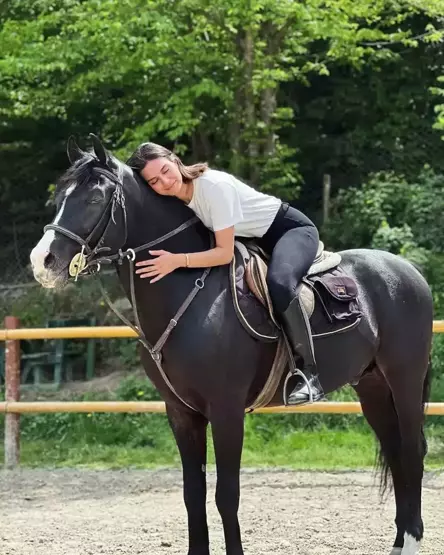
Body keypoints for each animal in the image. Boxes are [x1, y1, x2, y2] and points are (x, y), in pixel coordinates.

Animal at [29, 136, 432, 555]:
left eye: (94, 198)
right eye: (59, 196)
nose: (43, 261)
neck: (188, 294)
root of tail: (408, 271)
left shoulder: (226, 411)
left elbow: (227, 495)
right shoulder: (181, 413)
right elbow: (192, 494)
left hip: (404, 378)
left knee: (412, 451)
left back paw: (412, 539)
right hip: (371, 385)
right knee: (396, 451)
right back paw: (399, 541)